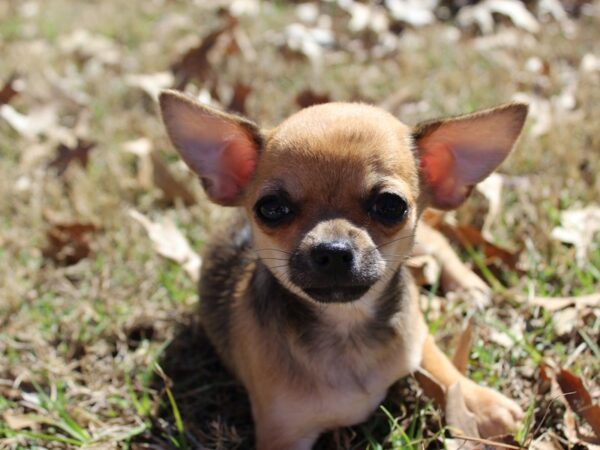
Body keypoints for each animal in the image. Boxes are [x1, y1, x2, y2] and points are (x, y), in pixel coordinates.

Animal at [158, 90, 524, 450]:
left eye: (391, 205)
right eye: (271, 209)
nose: (332, 251)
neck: (348, 324)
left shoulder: (416, 335)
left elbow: (442, 366)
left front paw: (483, 404)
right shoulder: (282, 435)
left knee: (436, 240)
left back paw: (467, 285)